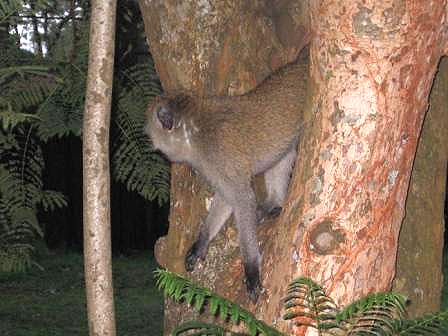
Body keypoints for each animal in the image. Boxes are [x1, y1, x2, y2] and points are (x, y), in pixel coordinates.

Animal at [144, 55, 308, 302]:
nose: (152, 141)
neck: (195, 133)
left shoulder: (218, 155)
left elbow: (242, 199)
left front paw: (251, 269)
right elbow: (226, 198)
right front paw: (201, 242)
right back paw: (274, 205)